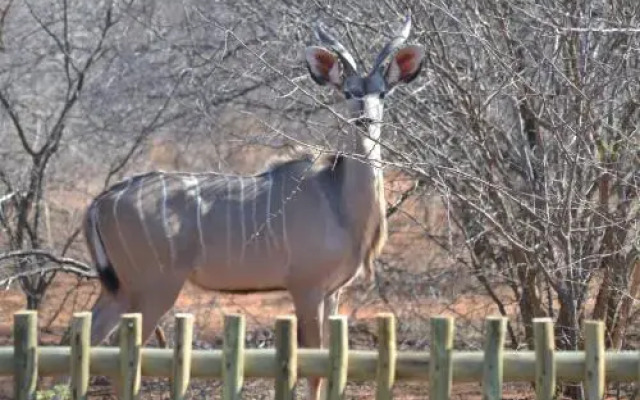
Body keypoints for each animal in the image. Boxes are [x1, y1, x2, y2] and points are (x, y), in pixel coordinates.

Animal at [86, 14, 424, 398]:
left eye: (381, 92)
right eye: (349, 92)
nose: (365, 120)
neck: (337, 198)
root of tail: (101, 201)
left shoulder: (333, 292)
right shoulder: (306, 288)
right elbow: (312, 366)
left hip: (120, 291)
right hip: (154, 289)